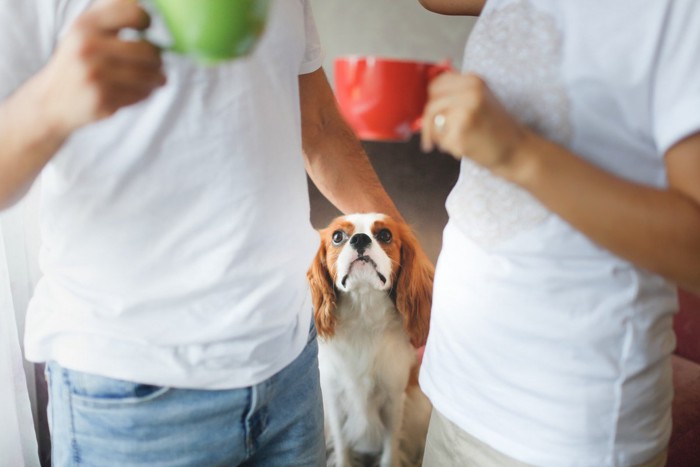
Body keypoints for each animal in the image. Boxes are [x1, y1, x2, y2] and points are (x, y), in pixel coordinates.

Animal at [308, 215, 434, 467]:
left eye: (385, 235)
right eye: (337, 237)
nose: (359, 239)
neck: (363, 313)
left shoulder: (394, 401)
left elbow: (390, 450)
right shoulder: (334, 400)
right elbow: (342, 446)